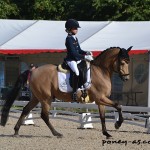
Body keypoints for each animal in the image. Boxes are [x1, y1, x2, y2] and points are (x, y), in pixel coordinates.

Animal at [0, 46, 132, 139]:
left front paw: (106, 133)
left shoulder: (101, 100)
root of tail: (33, 71)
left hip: (37, 97)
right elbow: (118, 106)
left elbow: (103, 117)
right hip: (46, 98)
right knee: (44, 115)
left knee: (26, 110)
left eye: (128, 62)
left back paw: (16, 131)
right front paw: (117, 124)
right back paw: (56, 133)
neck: (101, 71)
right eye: (122, 62)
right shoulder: (101, 98)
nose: (126, 78)